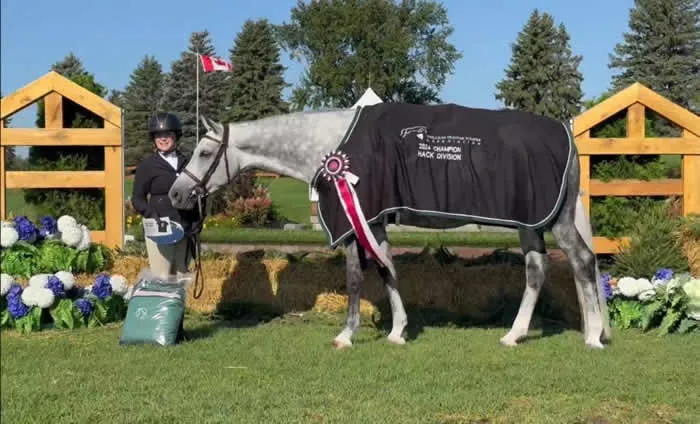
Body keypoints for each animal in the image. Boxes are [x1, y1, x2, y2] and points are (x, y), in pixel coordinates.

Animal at [168, 103, 612, 350]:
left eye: (204, 151)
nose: (176, 194)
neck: (330, 145)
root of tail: (567, 136)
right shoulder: (374, 221)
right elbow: (387, 270)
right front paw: (398, 331)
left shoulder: (353, 221)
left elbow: (354, 278)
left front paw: (346, 336)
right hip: (528, 223)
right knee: (537, 270)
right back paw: (514, 336)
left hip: (556, 221)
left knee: (582, 261)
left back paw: (592, 336)